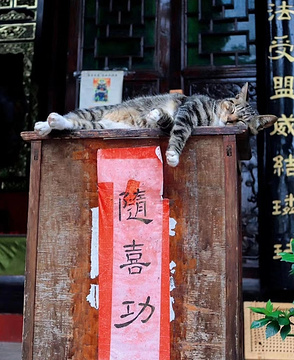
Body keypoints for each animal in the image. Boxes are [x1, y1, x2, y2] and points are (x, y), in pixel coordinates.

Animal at [35, 83, 278, 168]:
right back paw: (44, 124)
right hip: (94, 112)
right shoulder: (187, 109)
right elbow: (180, 130)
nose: (229, 121)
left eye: (243, 121)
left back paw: (54, 122)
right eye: (232, 108)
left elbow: (168, 123)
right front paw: (173, 154)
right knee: (73, 116)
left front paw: (157, 116)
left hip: (97, 126)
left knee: (76, 124)